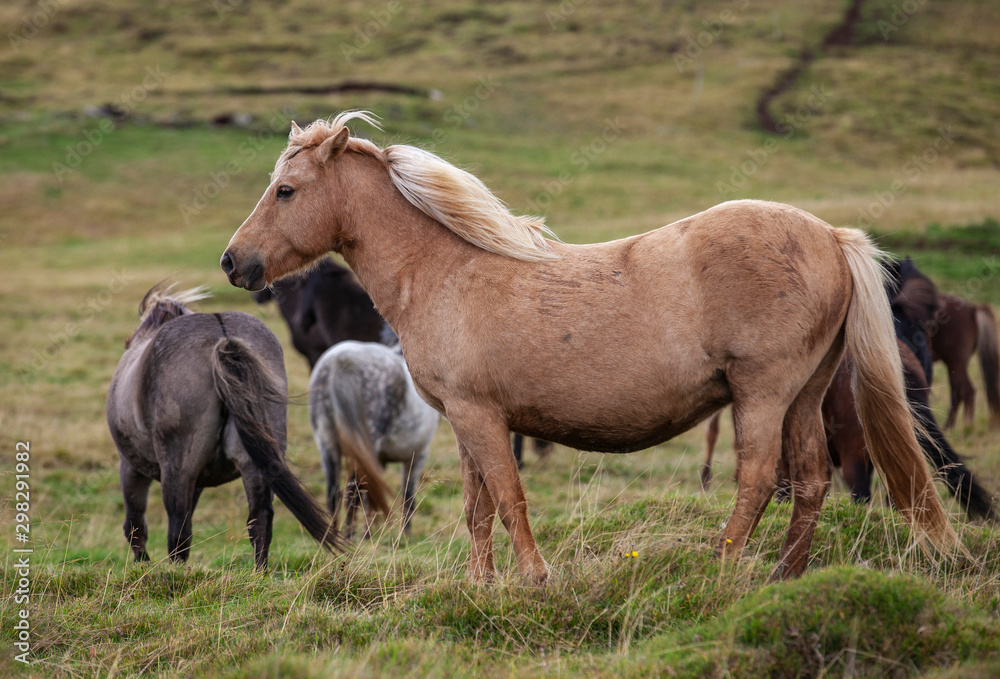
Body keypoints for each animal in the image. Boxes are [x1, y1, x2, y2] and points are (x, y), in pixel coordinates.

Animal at [104, 284, 340, 572]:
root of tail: (223, 336)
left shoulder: (131, 467)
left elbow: (135, 525)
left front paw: (143, 565)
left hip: (177, 468)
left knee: (178, 528)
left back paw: (176, 572)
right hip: (255, 464)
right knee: (259, 518)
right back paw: (258, 572)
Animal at [310, 330, 440, 540]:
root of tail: (341, 361)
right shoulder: (417, 455)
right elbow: (408, 496)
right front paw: (405, 535)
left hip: (326, 444)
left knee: (334, 493)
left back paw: (334, 538)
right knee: (355, 492)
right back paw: (355, 537)